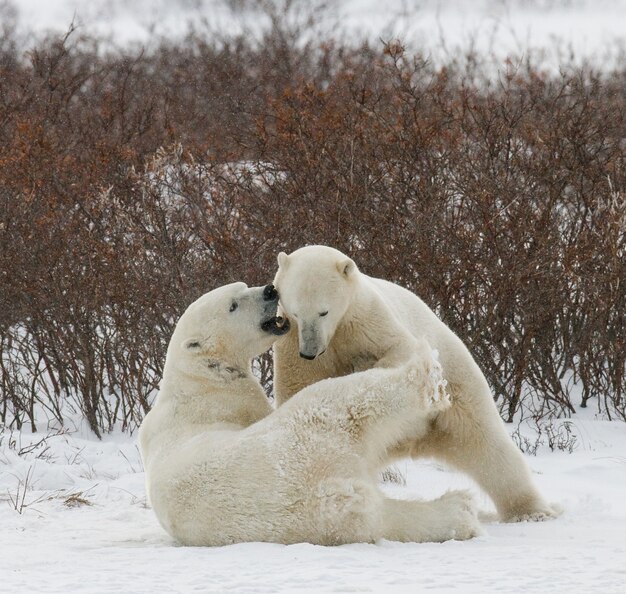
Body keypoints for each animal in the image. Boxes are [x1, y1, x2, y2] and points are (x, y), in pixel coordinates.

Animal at [138, 280, 478, 544]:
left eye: (243, 286)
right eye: (233, 304)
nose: (270, 290)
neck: (198, 380)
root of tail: (324, 489)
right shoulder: (235, 405)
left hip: (322, 519)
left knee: (380, 519)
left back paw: (458, 512)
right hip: (308, 430)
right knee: (350, 400)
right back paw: (427, 376)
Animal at [272, 243, 556, 520]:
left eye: (323, 312)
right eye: (296, 312)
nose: (309, 351)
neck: (337, 332)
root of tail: (415, 441)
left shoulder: (369, 321)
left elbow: (402, 352)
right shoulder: (291, 342)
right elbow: (299, 386)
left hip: (457, 381)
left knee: (487, 444)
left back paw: (531, 512)